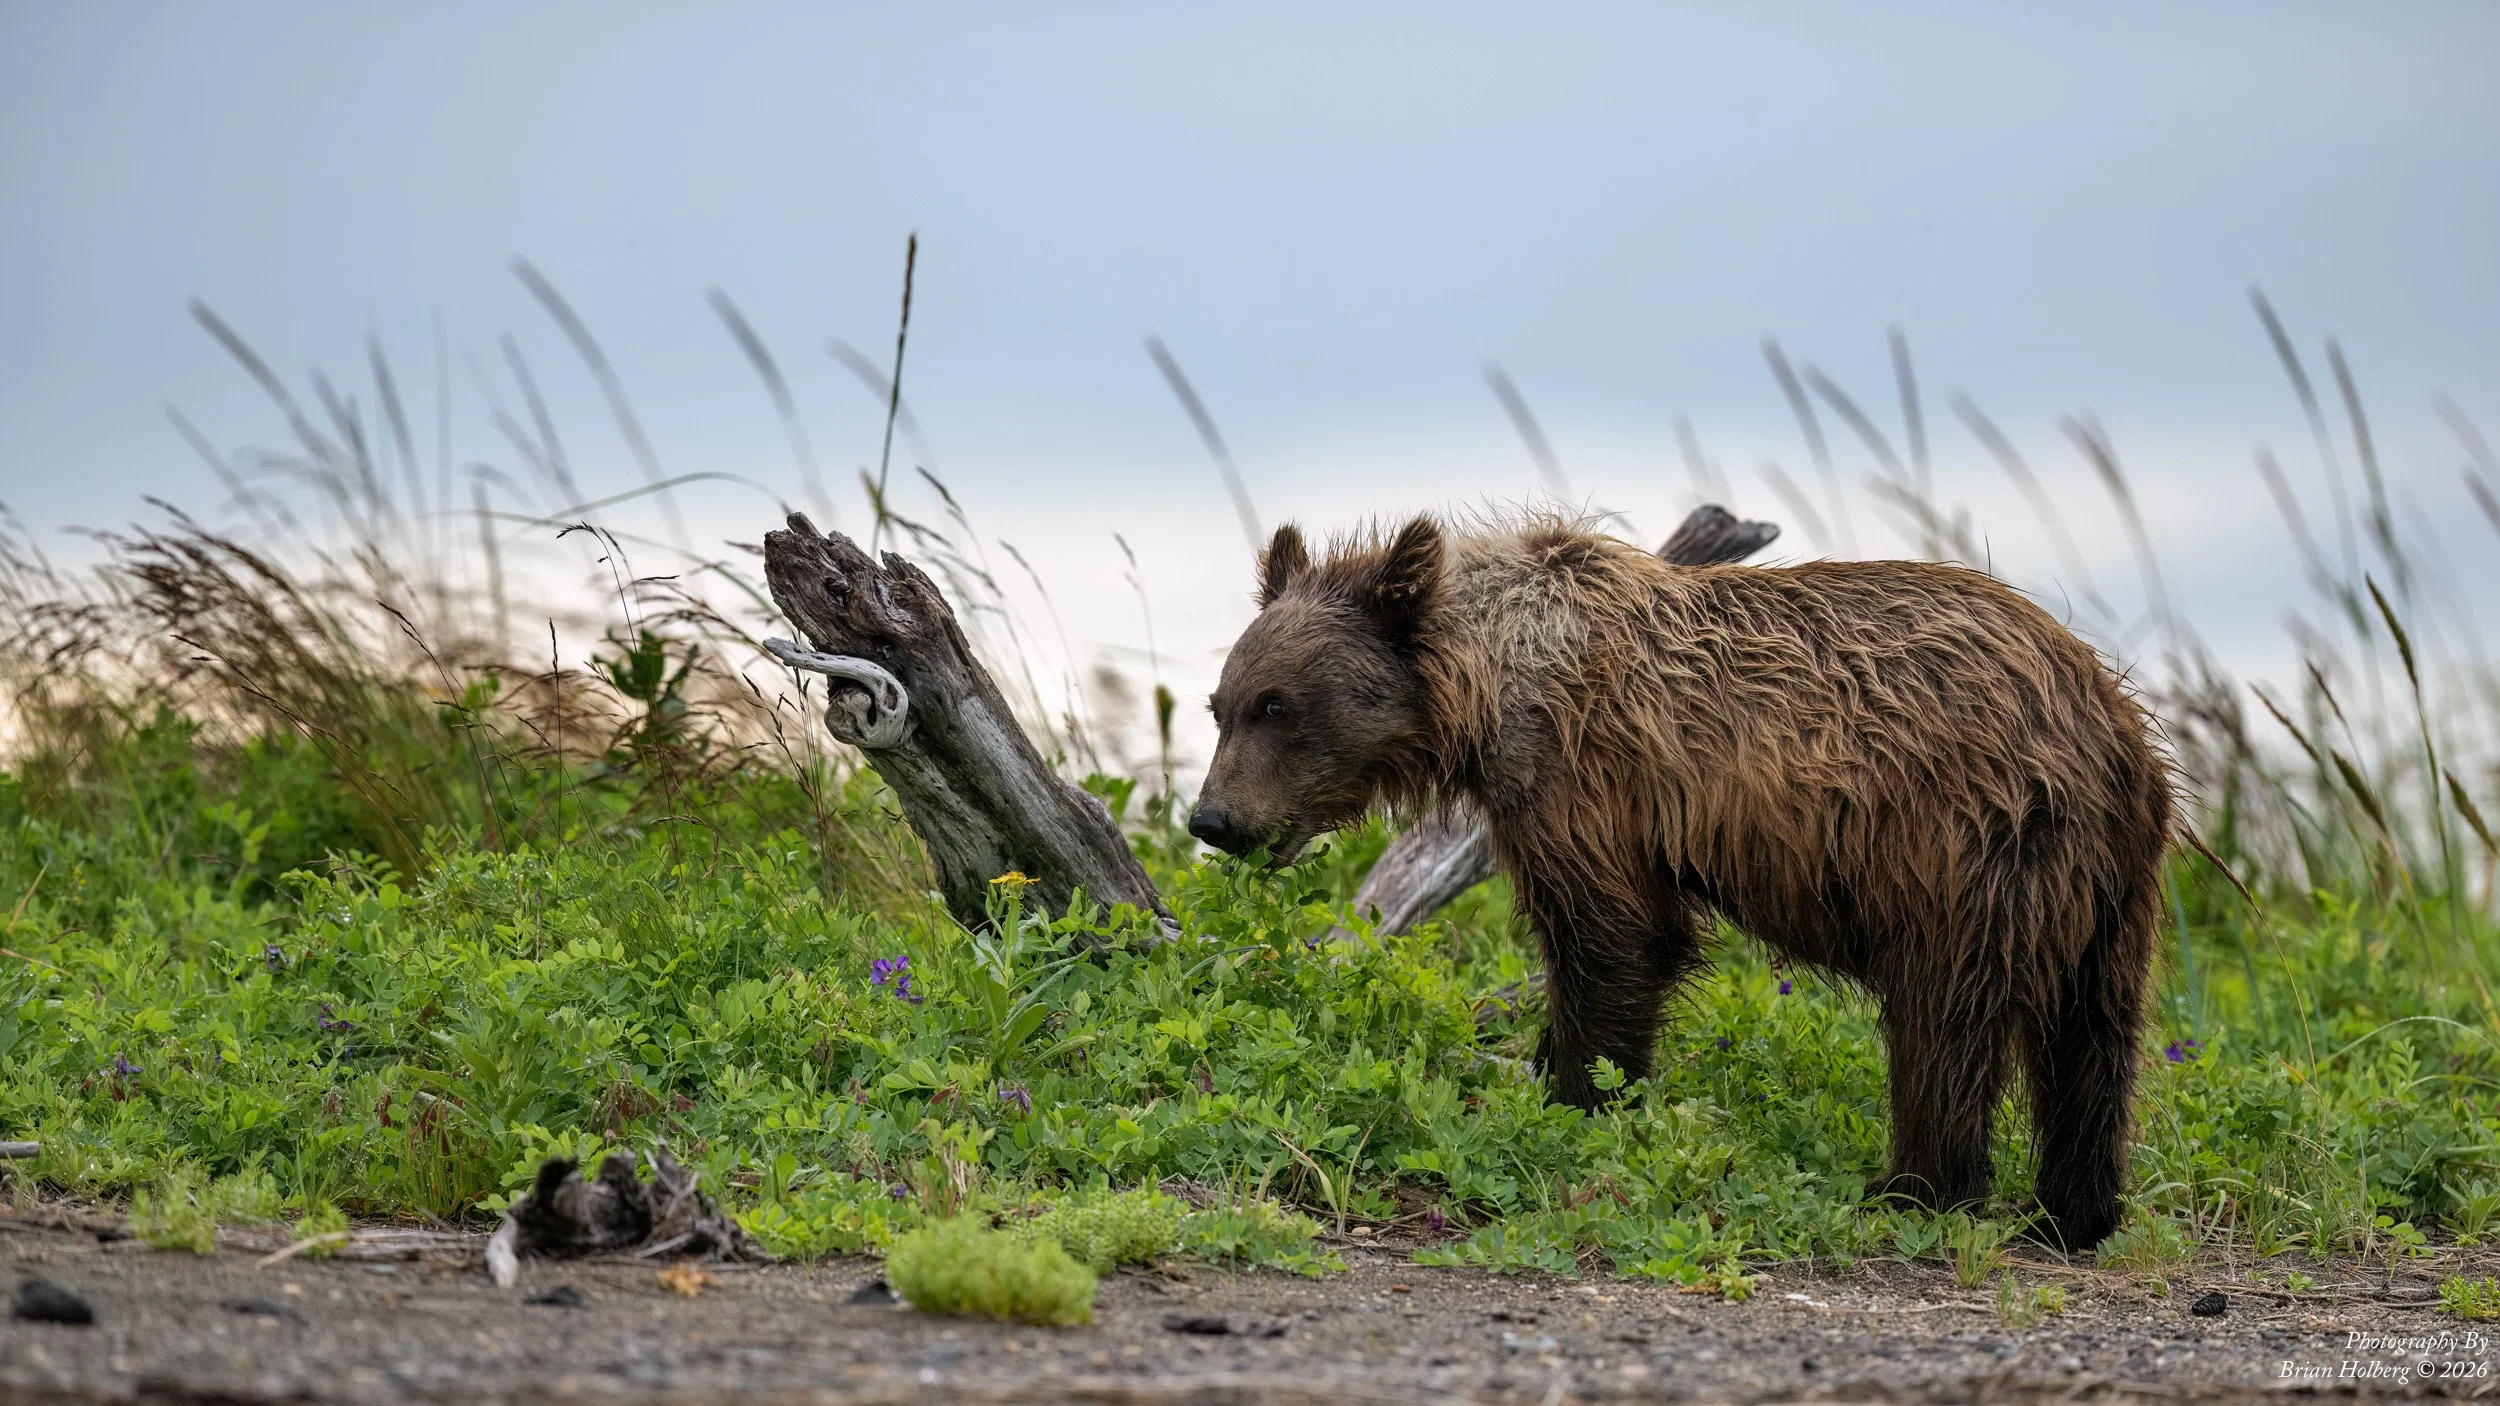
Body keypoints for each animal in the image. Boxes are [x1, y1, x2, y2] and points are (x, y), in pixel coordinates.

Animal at [1188, 514, 2173, 1250]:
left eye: (1278, 705)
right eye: (1221, 703)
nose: (1213, 820)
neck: (1489, 684)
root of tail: (2108, 721)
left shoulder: (1584, 777)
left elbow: (1613, 937)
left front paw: (1579, 1094)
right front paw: (1556, 1079)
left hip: (1964, 846)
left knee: (1944, 1017)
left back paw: (1915, 1187)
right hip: (2109, 889)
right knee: (2092, 1034)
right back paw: (2072, 1212)